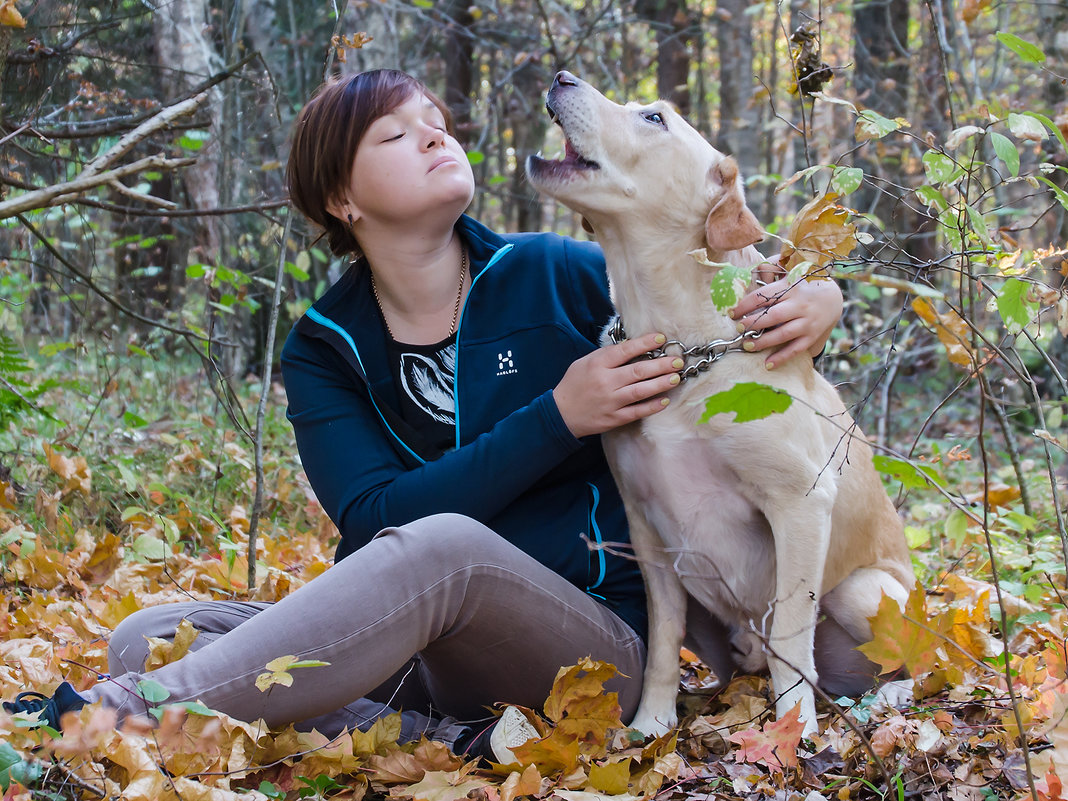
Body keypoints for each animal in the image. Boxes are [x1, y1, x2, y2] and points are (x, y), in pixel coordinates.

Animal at [529, 73, 914, 739]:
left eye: (653, 118)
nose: (561, 76)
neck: (684, 347)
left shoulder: (800, 503)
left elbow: (790, 634)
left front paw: (794, 734)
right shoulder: (647, 529)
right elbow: (663, 639)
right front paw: (651, 724)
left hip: (864, 592)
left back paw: (888, 698)